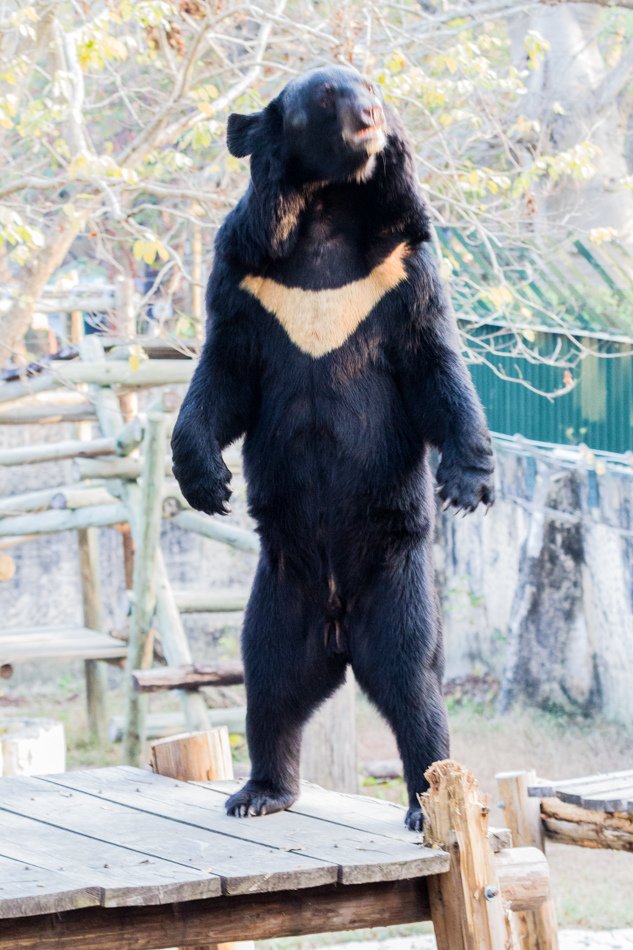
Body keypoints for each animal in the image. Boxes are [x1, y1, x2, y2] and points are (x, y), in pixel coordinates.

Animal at [173, 65, 494, 832]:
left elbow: (433, 363)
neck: (320, 211)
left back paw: (423, 802)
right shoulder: (247, 271)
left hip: (398, 579)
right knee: (269, 682)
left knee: (413, 684)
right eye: (325, 97)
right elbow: (224, 373)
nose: (371, 118)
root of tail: (339, 630)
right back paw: (260, 791)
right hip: (278, 592)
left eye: (371, 87)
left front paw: (467, 483)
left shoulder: (401, 267)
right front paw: (205, 481)